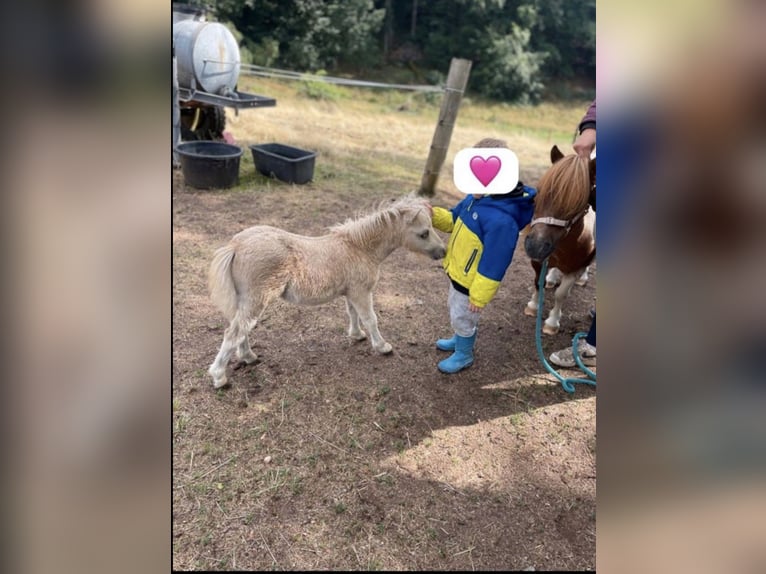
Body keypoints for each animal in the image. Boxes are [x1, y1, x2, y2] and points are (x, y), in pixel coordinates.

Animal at [207, 196, 448, 390]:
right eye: (424, 233)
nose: (443, 252)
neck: (360, 248)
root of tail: (235, 245)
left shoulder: (352, 292)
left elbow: (353, 314)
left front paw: (357, 335)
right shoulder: (362, 292)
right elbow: (371, 319)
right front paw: (382, 347)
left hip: (247, 300)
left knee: (241, 329)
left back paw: (248, 357)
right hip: (257, 299)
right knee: (234, 332)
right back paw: (219, 378)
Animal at [524, 145, 596, 338]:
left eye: (578, 203)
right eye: (539, 191)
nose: (535, 246)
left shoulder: (576, 267)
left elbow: (561, 294)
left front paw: (552, 322)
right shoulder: (538, 260)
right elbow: (538, 282)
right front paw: (533, 306)